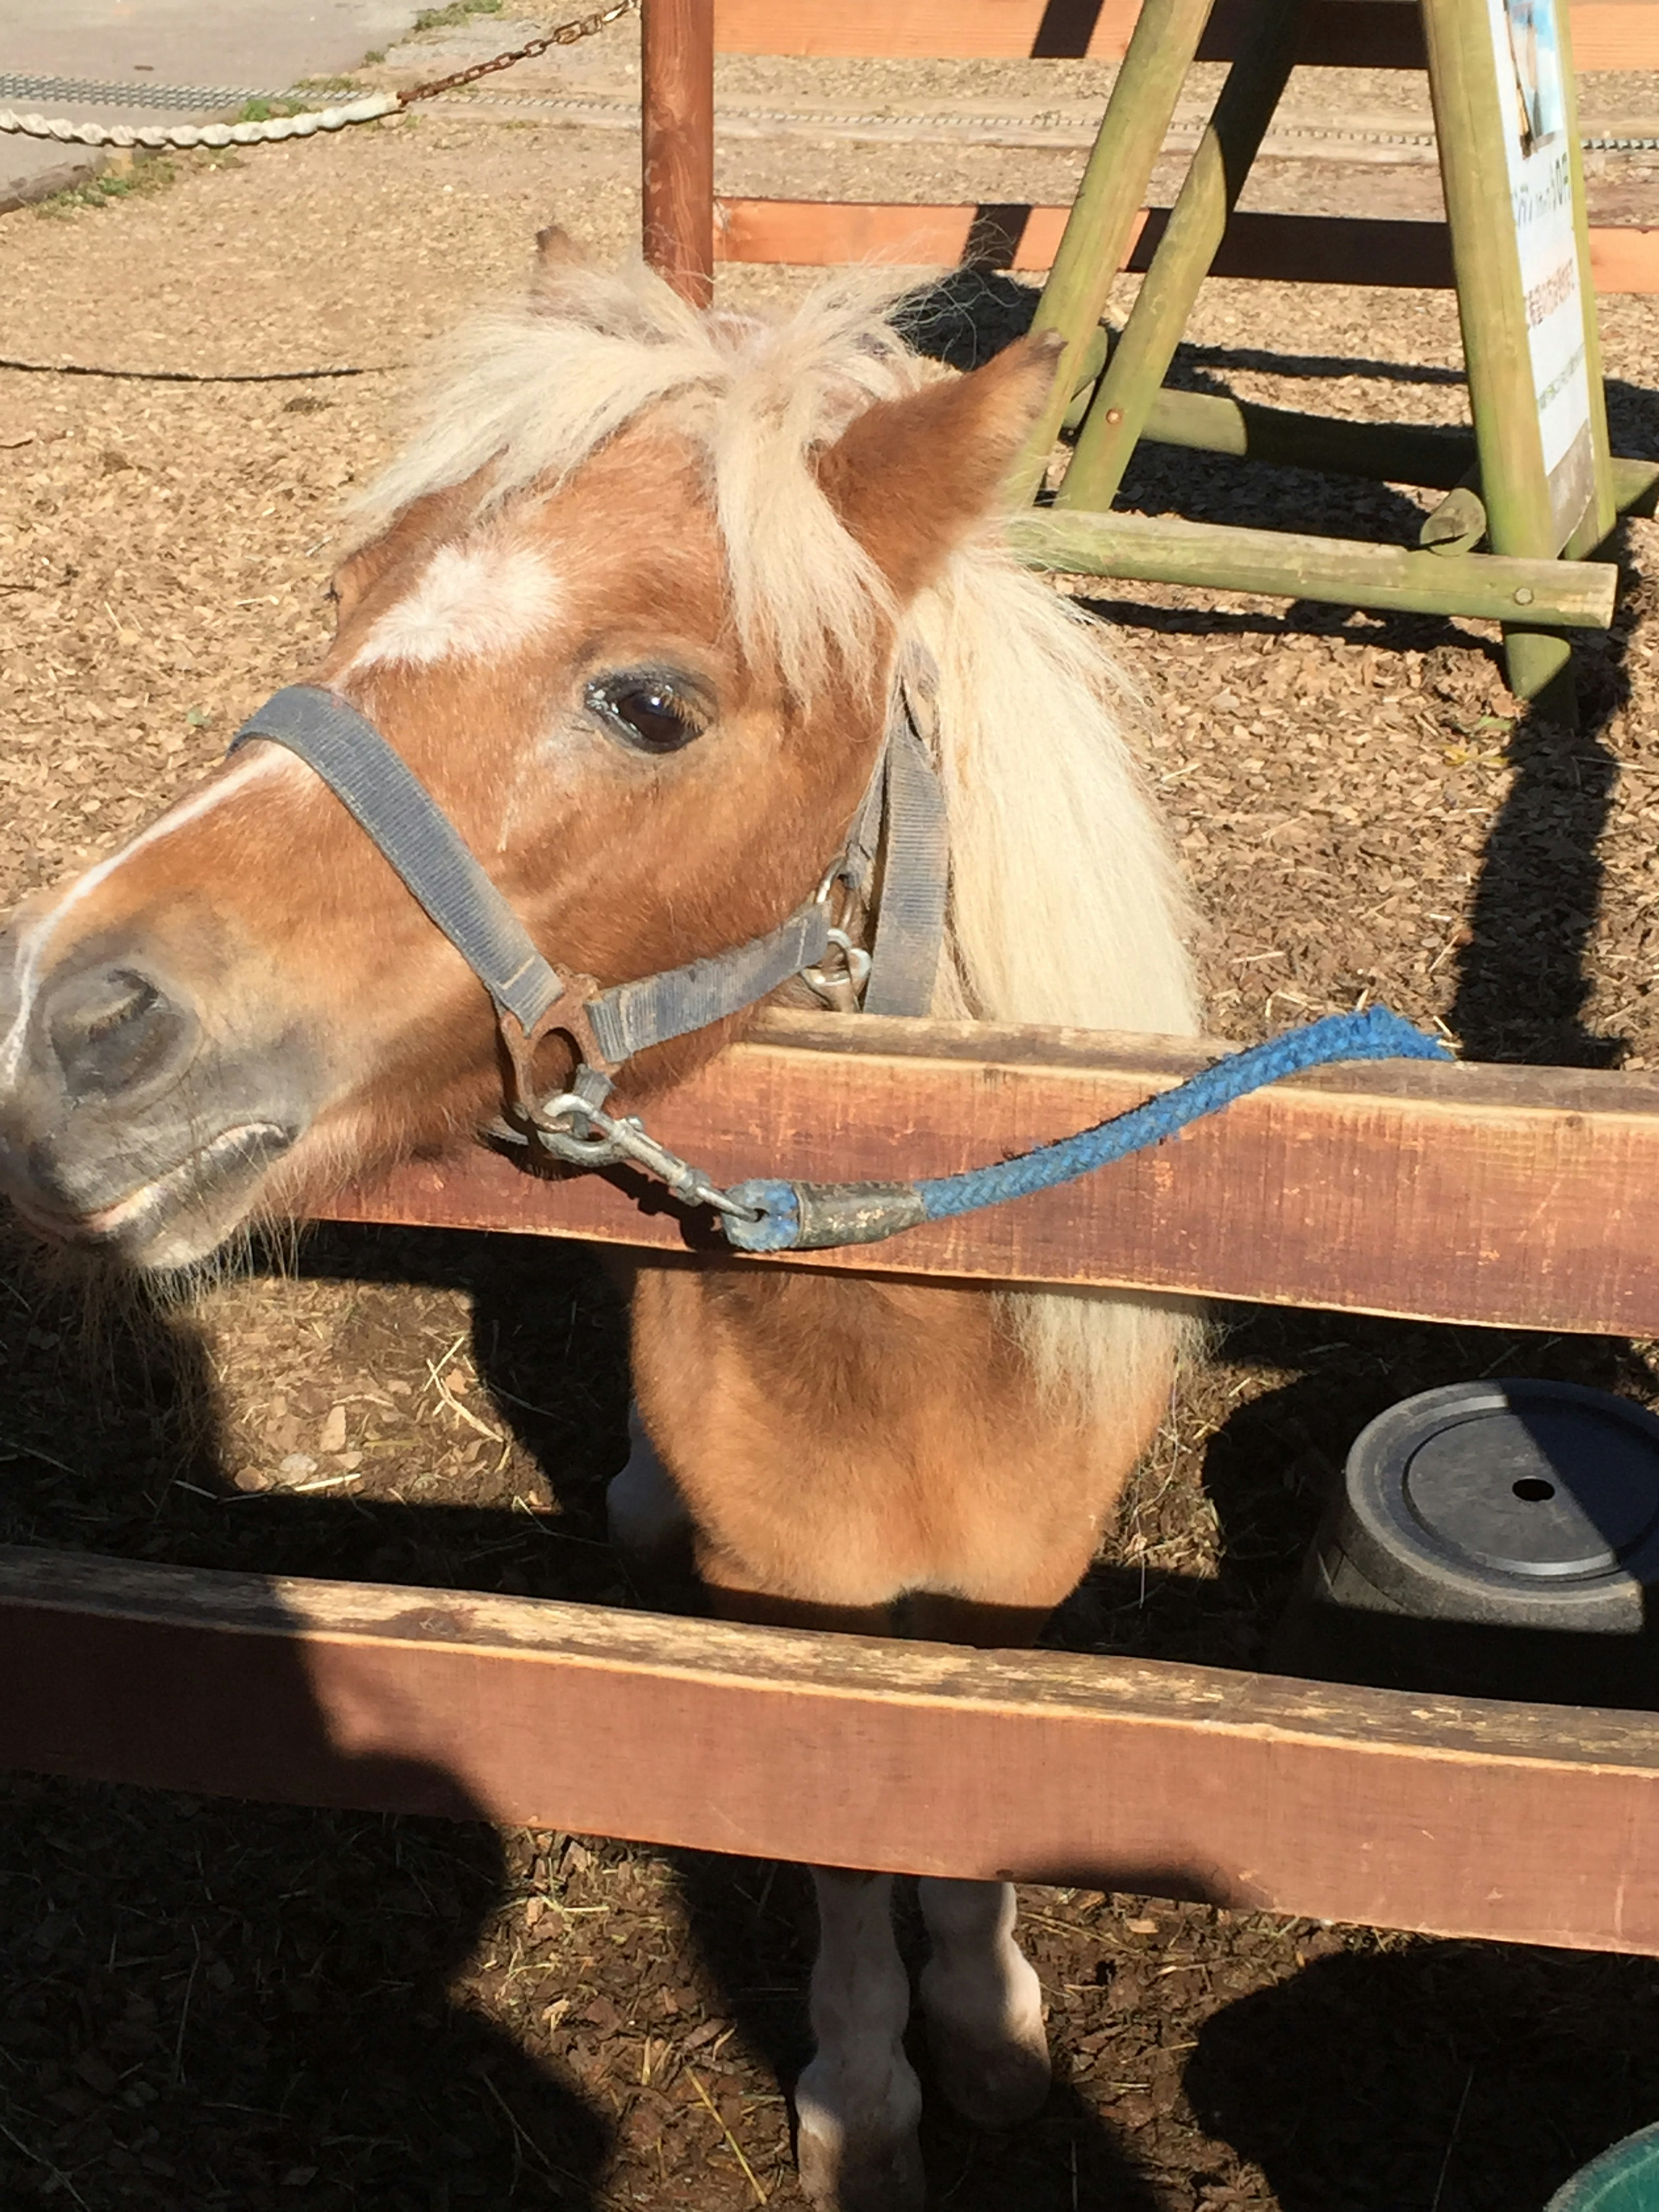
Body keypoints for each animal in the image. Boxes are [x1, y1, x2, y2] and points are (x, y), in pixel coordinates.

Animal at [0, 233, 1203, 2203]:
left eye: (649, 704)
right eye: (345, 594)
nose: (60, 1023)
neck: (914, 1351)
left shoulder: (1019, 1595)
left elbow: (969, 1818)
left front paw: (992, 2027)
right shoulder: (782, 1606)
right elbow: (844, 1841)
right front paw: (868, 2091)